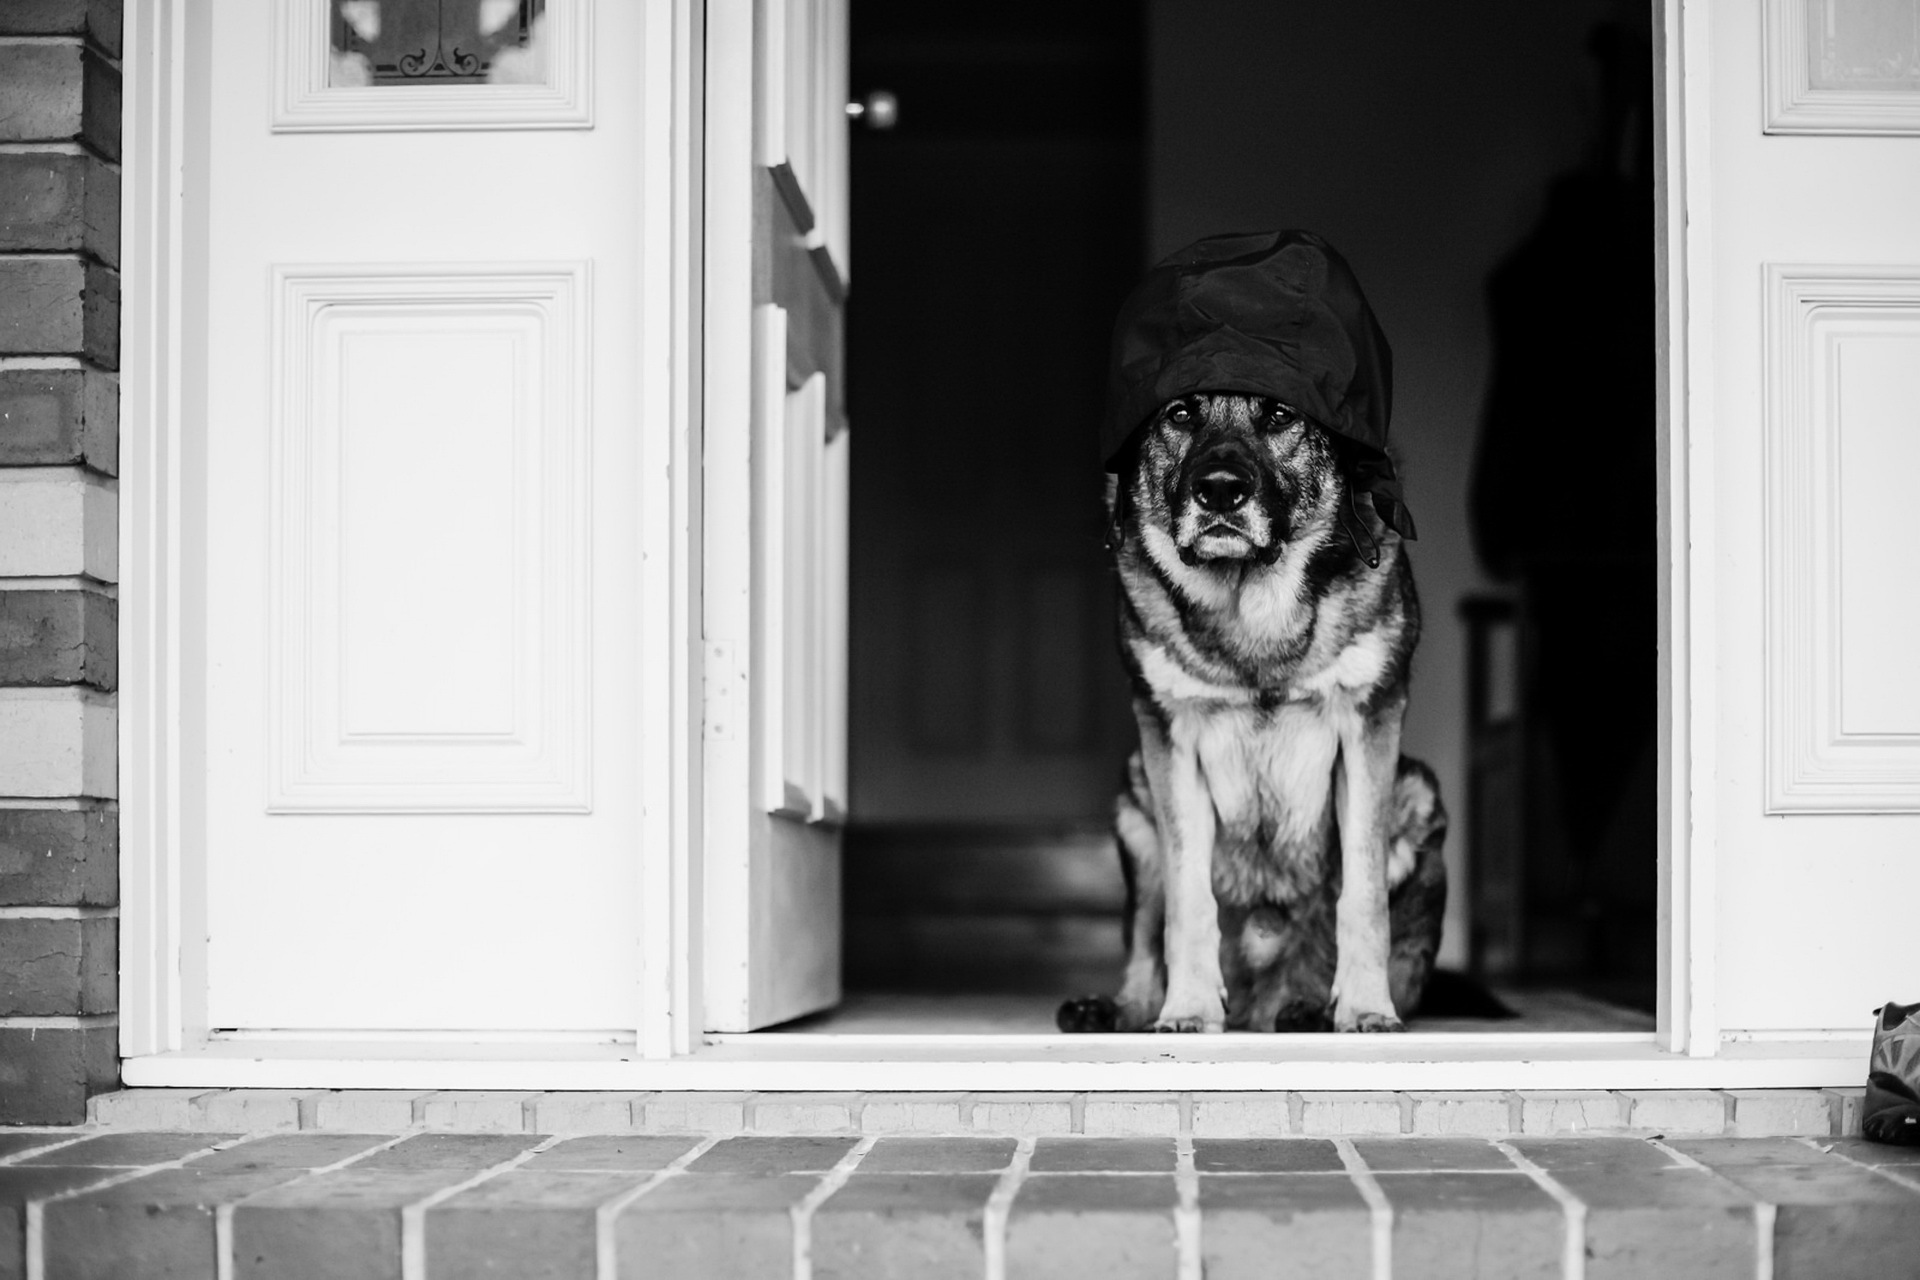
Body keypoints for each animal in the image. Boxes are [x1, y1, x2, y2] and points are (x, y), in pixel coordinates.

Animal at [1059, 395, 1443, 1036]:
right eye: (1180, 413)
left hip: (1418, 793)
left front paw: (1366, 1007)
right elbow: (1187, 900)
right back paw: (1110, 1010)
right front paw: (1188, 1008)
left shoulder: (1371, 722)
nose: (1219, 491)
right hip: (1136, 799)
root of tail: (1258, 1005)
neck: (1250, 603)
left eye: (1281, 415)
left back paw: (1307, 1009)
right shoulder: (1170, 739)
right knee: (1143, 954)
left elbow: (1363, 896)